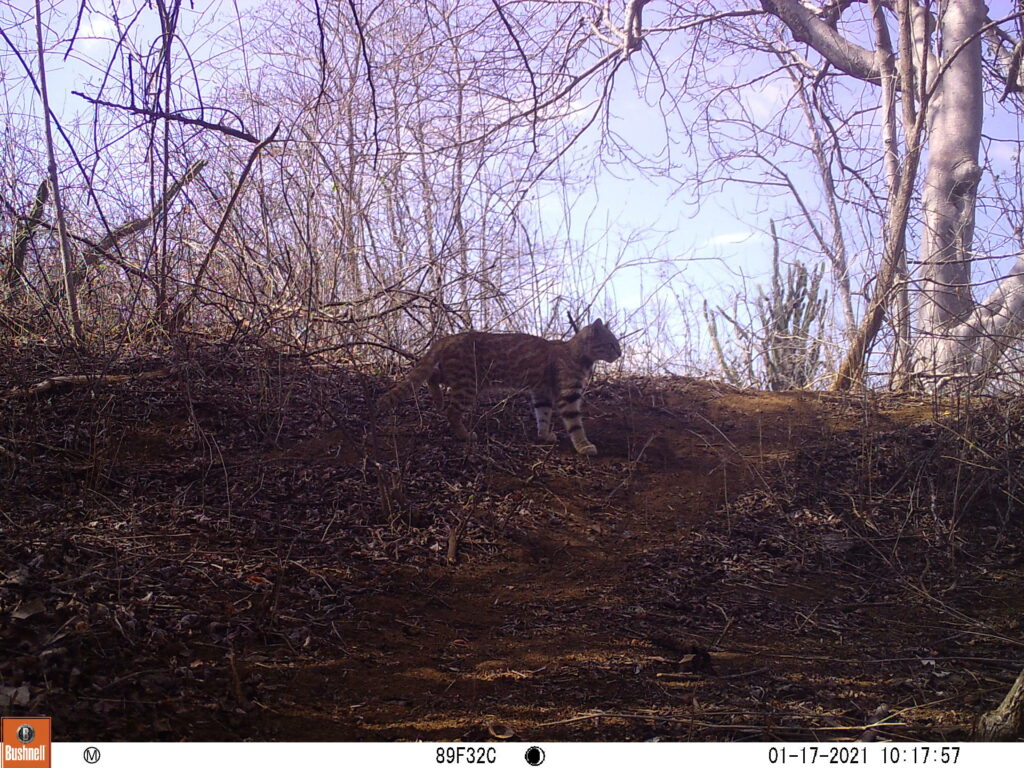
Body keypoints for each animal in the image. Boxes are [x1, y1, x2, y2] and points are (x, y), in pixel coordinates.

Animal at [376, 319, 614, 454]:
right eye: (612, 344)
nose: (619, 353)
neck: (579, 355)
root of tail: (448, 338)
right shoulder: (568, 395)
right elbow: (575, 425)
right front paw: (584, 446)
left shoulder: (541, 393)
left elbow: (543, 416)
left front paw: (544, 435)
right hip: (468, 385)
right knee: (452, 411)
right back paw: (464, 434)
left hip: (458, 378)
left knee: (432, 377)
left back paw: (437, 398)